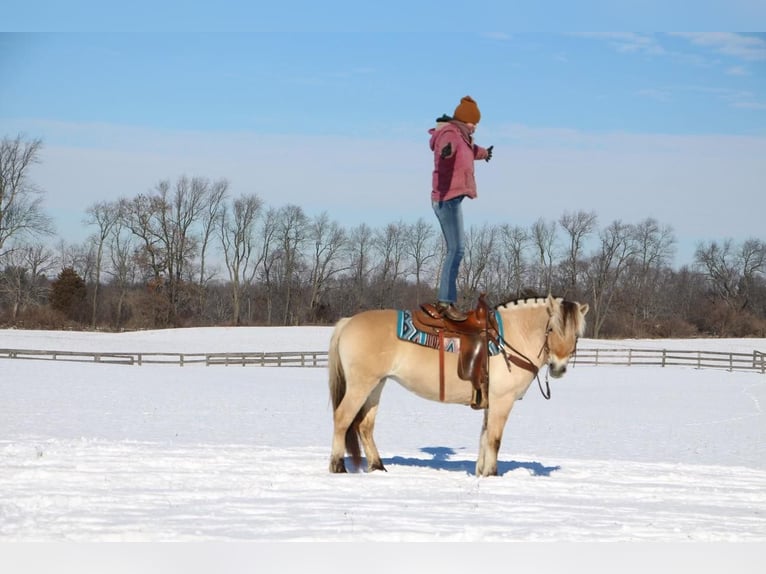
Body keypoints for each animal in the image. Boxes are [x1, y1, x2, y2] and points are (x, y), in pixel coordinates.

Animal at [328, 294, 588, 480]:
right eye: (552, 328)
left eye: (577, 334)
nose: (558, 368)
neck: (513, 338)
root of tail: (348, 321)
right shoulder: (502, 400)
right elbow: (494, 439)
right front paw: (492, 474)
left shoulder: (489, 402)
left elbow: (484, 437)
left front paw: (481, 472)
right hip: (361, 385)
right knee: (342, 418)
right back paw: (338, 466)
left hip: (376, 385)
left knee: (364, 426)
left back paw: (378, 467)